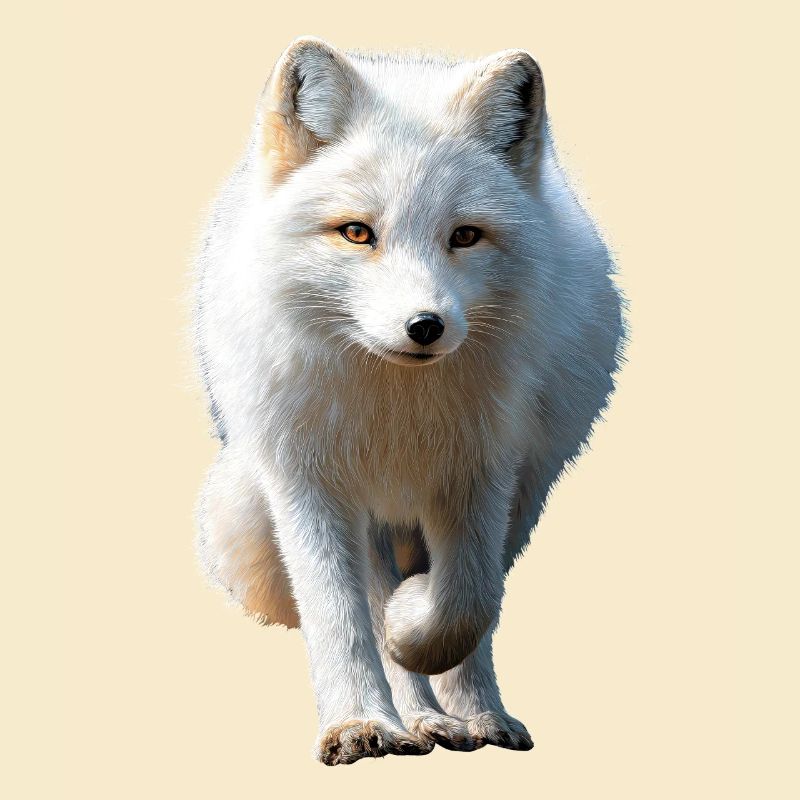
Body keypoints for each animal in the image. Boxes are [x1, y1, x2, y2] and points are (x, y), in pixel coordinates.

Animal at [193, 36, 624, 766]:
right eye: (356, 233)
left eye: (466, 236)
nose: (425, 327)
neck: (396, 410)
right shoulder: (310, 481)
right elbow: (341, 615)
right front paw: (358, 722)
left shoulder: (483, 470)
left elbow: (468, 603)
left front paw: (420, 643)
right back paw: (412, 719)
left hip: (522, 495)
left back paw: (464, 717)